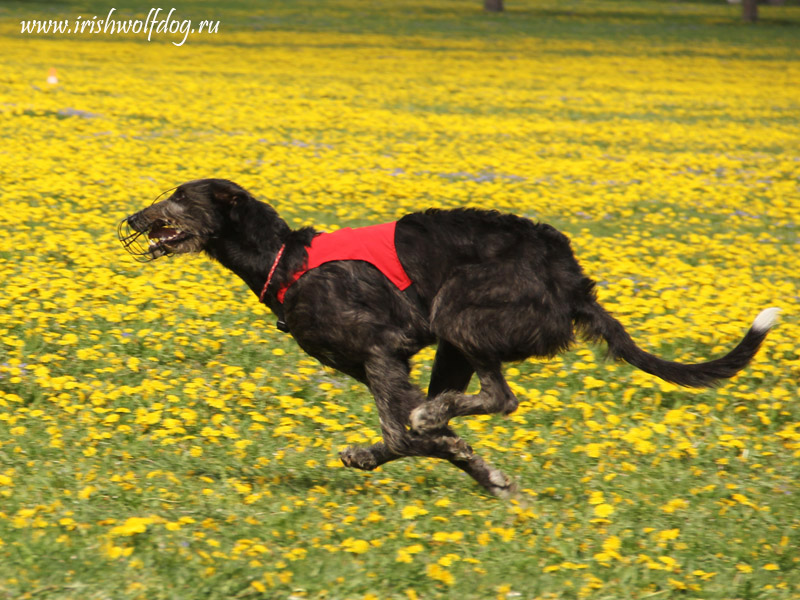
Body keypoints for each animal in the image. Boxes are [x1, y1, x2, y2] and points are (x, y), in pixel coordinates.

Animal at [120, 179, 780, 496]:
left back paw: (435, 414)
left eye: (179, 195)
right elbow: (435, 442)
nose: (130, 218)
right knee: (470, 398)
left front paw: (380, 450)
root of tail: (573, 280)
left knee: (498, 396)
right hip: (454, 343)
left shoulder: (382, 350)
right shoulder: (381, 366)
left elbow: (402, 434)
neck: (287, 260)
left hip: (460, 310)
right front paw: (484, 473)